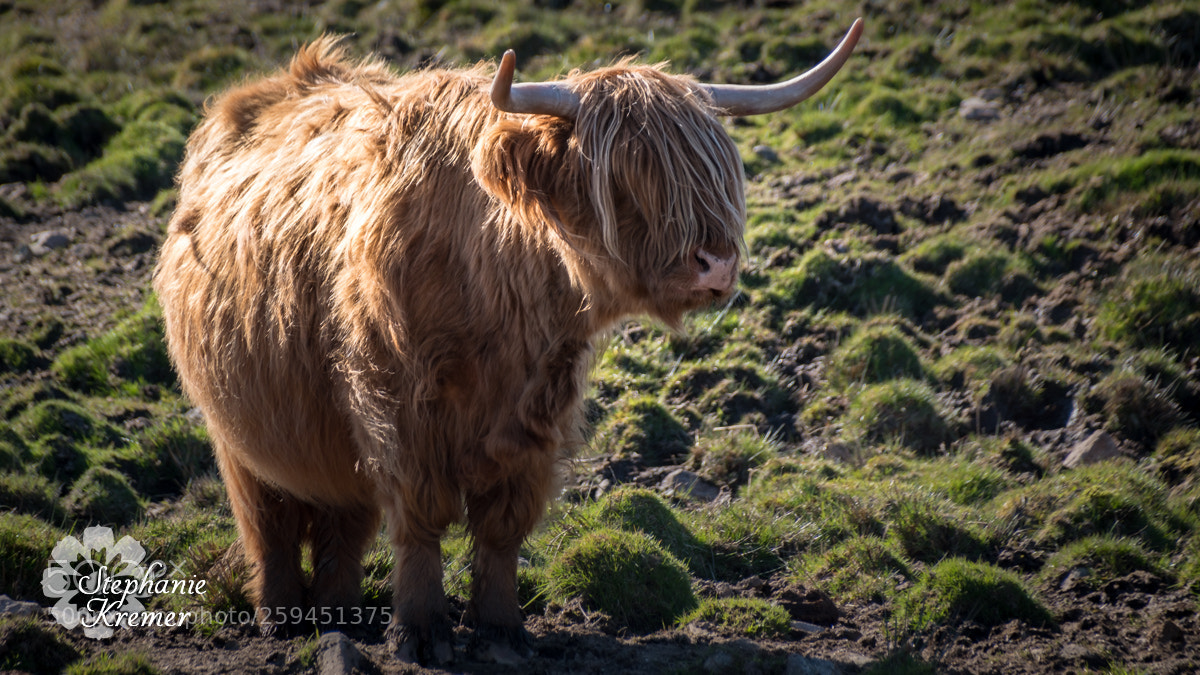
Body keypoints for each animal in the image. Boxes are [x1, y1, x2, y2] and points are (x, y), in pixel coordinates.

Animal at [152, 21, 864, 662]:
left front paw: (500, 631)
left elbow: (501, 530)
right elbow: (421, 519)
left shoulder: (536, 419)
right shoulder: (397, 407)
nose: (716, 263)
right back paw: (283, 619)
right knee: (268, 523)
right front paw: (421, 631)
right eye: (625, 176)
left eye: (716, 174)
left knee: (341, 526)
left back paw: (340, 614)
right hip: (239, 430)